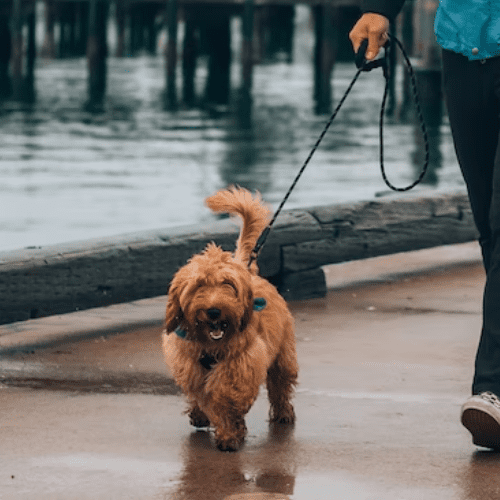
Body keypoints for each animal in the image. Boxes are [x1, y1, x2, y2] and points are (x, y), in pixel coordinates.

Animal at [163, 186, 296, 452]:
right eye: (199, 285)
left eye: (228, 285)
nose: (214, 311)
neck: (211, 344)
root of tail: (247, 268)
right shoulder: (190, 364)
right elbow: (203, 394)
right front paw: (220, 425)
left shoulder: (241, 365)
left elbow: (226, 397)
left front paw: (229, 433)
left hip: (283, 354)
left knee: (280, 384)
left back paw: (284, 413)